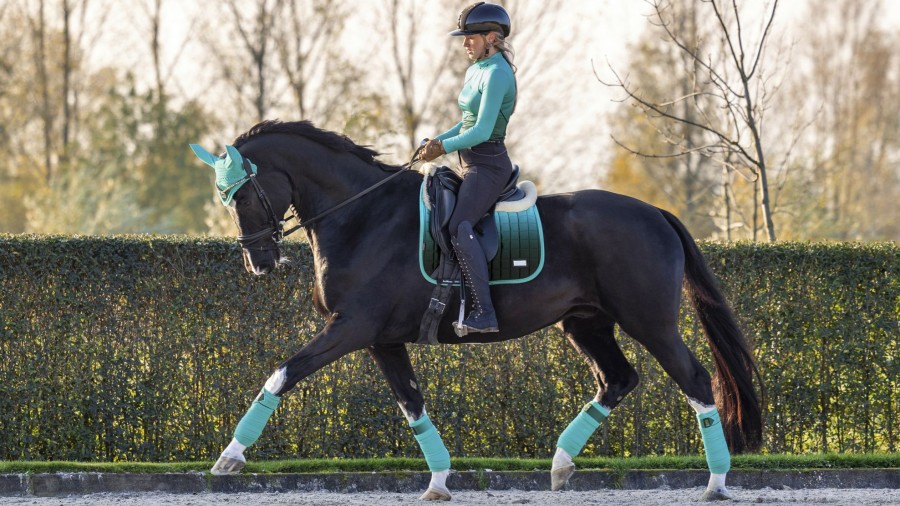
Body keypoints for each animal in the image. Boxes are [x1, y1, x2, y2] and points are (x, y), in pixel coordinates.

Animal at [188, 119, 760, 502]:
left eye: (241, 195)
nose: (259, 263)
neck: (361, 214)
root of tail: (657, 213)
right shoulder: (381, 339)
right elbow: (413, 405)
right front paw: (440, 480)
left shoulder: (350, 328)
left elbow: (282, 373)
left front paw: (229, 458)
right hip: (585, 323)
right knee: (618, 379)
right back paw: (560, 465)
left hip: (651, 323)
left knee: (696, 379)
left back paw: (715, 481)